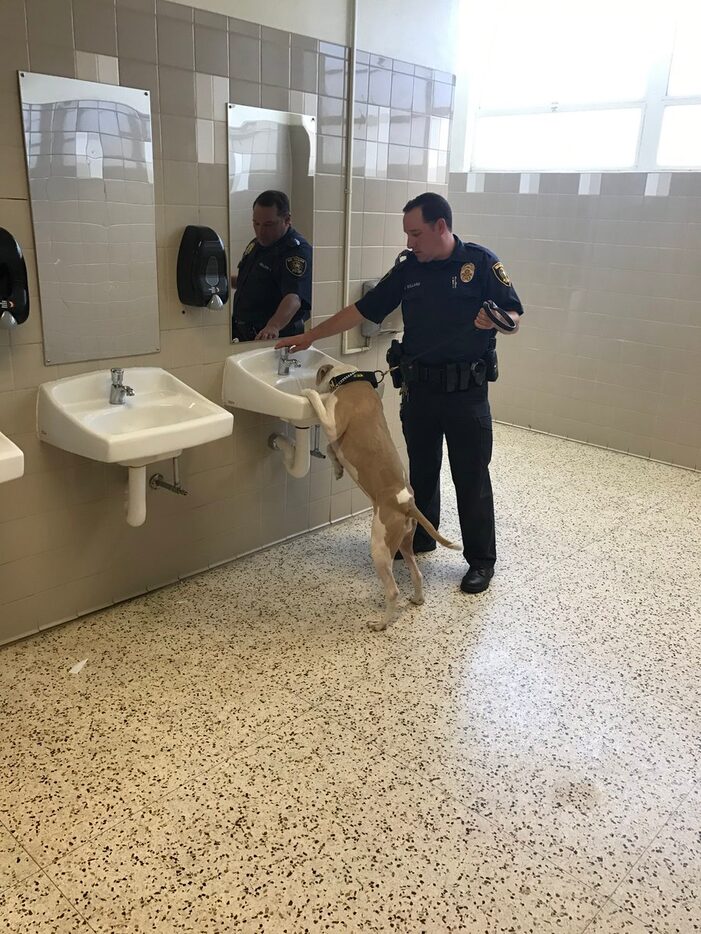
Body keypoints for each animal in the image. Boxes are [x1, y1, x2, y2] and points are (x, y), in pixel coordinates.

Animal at [302, 362, 460, 632]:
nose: (308, 384)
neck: (349, 378)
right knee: (417, 574)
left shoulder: (332, 423)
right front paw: (338, 469)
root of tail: (407, 504)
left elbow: (322, 413)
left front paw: (309, 393)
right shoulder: (335, 437)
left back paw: (381, 623)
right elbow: (331, 449)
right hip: (405, 542)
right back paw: (417, 599)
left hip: (379, 546)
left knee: (393, 590)